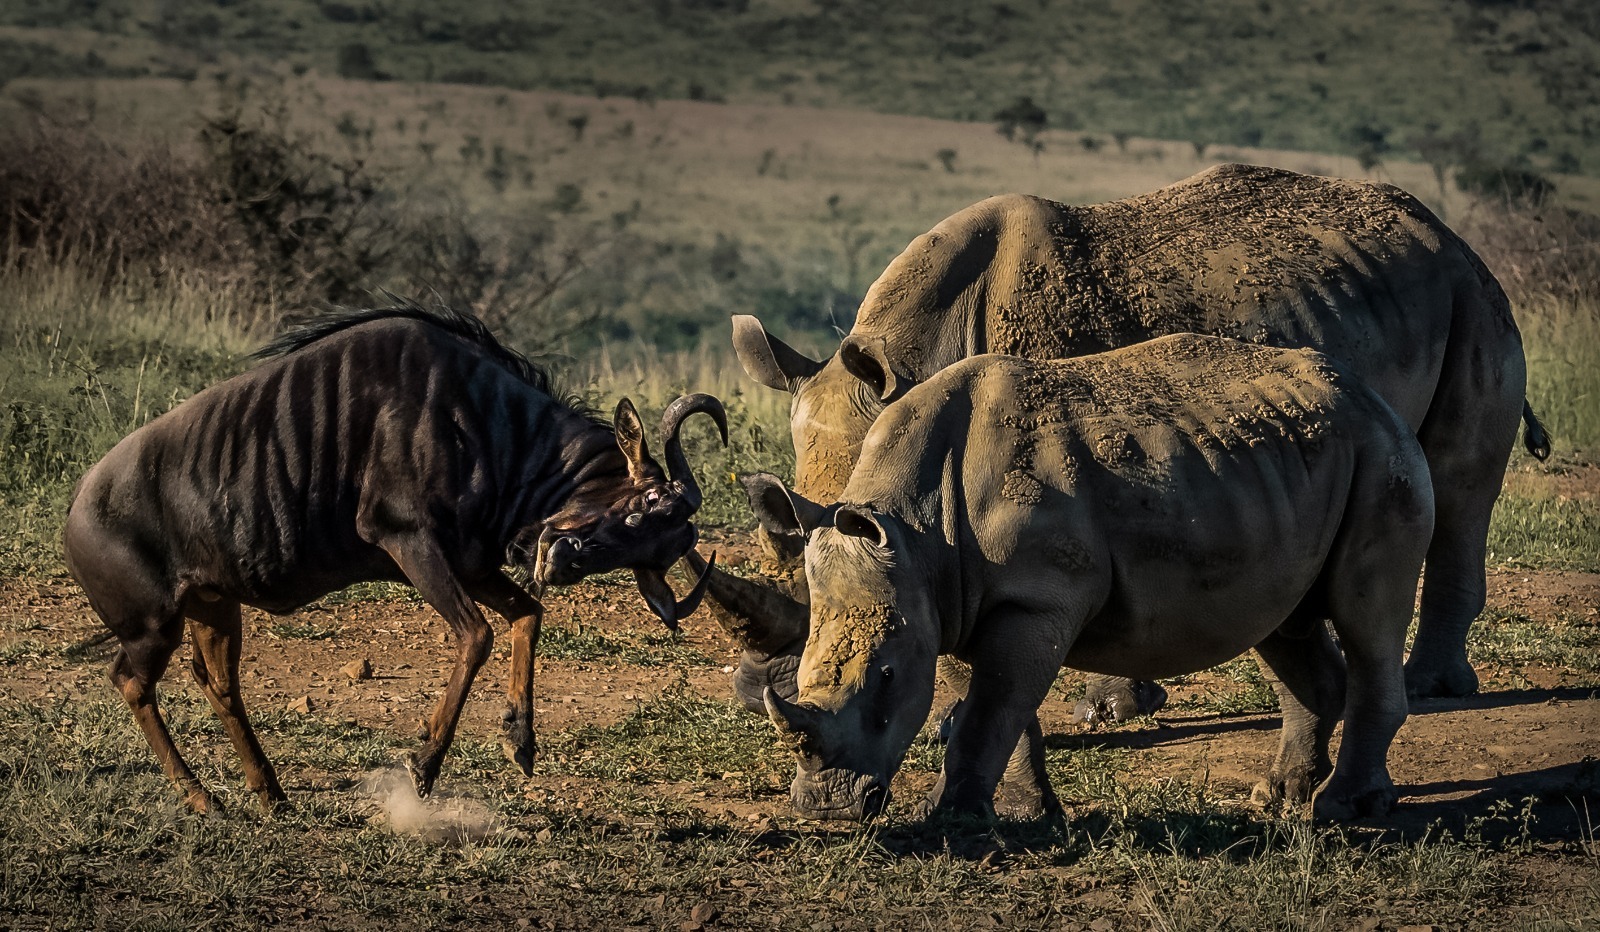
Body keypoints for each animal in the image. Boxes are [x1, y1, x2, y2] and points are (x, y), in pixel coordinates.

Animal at [704, 164, 1548, 730]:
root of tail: (1448, 233)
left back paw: (1435, 686)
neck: (912, 357)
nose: (759, 688)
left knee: (1459, 484)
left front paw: (1104, 710)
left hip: (1471, 296)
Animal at [755, 337, 1433, 826]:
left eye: (886, 677)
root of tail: (1370, 395)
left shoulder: (1034, 598)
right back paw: (1282, 796)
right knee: (1283, 624)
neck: (915, 529)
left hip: (1381, 454)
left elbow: (993, 708)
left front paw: (953, 821)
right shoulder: (945, 598)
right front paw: (1023, 813)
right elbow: (989, 706)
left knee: (1366, 617)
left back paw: (1342, 809)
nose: (827, 809)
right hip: (1278, 473)